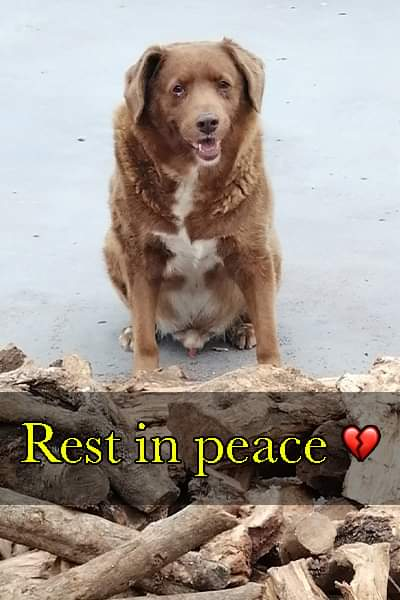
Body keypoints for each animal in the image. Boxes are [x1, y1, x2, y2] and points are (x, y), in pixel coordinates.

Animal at [104, 39, 282, 373]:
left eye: (224, 84)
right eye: (177, 89)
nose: (208, 122)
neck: (191, 174)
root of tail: (193, 331)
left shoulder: (253, 252)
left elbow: (268, 331)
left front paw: (273, 372)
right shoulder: (140, 256)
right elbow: (145, 334)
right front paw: (145, 375)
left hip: (273, 250)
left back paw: (243, 328)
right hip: (112, 245)